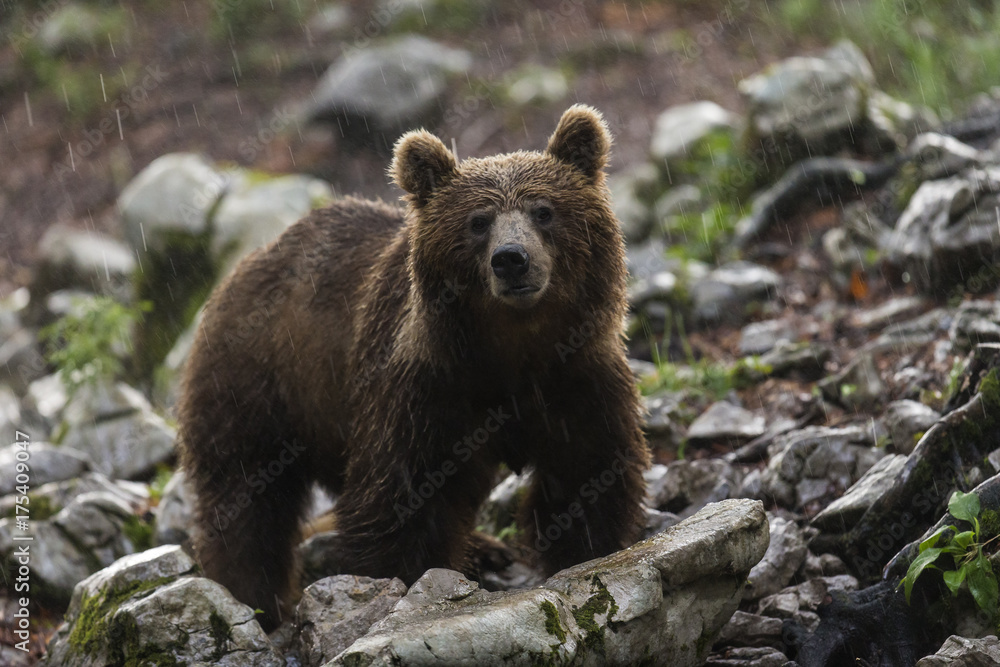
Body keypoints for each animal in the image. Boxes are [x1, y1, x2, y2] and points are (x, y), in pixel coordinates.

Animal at [176, 104, 650, 630]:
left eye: (544, 210)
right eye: (478, 221)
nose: (512, 259)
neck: (514, 349)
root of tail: (250, 262)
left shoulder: (578, 377)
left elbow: (586, 471)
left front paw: (585, 552)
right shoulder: (426, 388)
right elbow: (403, 497)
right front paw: (400, 582)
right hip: (258, 382)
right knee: (249, 496)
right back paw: (254, 596)